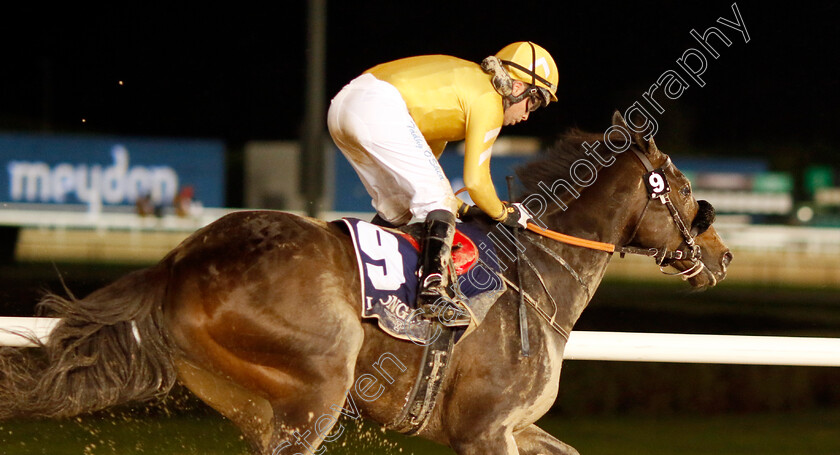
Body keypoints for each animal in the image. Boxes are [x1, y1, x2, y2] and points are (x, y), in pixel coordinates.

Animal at [0, 112, 732, 454]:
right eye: (681, 188)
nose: (721, 253)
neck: (539, 276)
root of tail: (179, 260)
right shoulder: (484, 429)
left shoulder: (515, 428)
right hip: (316, 389)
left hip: (248, 399)